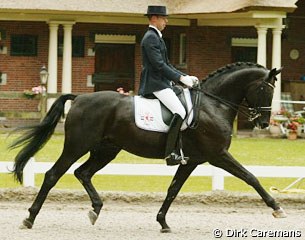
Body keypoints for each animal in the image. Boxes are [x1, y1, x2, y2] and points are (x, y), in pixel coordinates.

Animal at [10, 62, 284, 232]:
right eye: (265, 89)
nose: (263, 123)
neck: (212, 105)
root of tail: (80, 98)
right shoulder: (217, 155)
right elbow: (250, 177)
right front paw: (277, 208)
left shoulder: (193, 160)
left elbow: (173, 189)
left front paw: (162, 222)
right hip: (77, 146)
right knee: (53, 174)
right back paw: (29, 218)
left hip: (107, 150)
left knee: (83, 172)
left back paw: (95, 210)